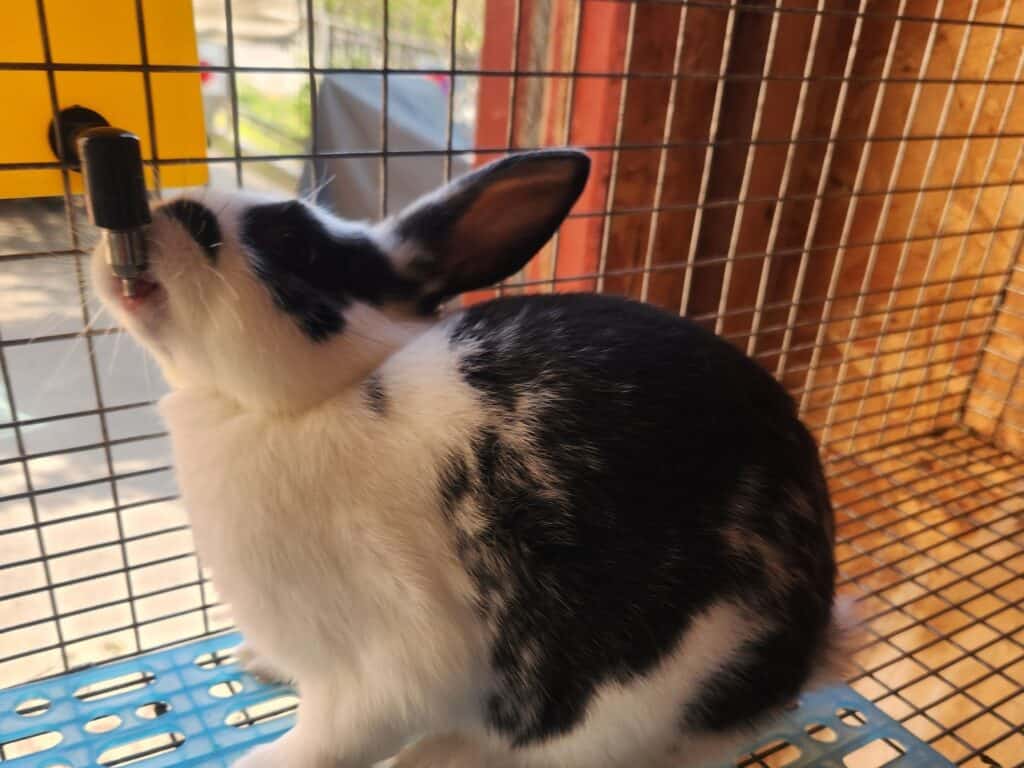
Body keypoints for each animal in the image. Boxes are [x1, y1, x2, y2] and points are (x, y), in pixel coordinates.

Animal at [92, 149, 852, 768]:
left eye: (292, 243)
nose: (160, 212)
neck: (296, 406)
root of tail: (805, 649)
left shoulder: (385, 665)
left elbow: (325, 743)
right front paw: (257, 663)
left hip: (649, 699)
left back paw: (438, 755)